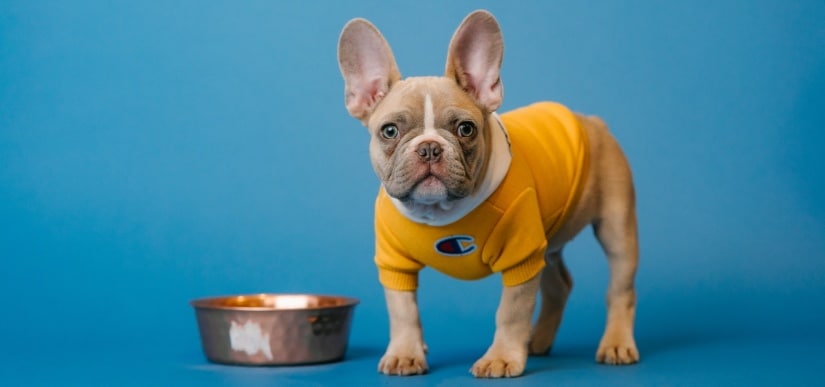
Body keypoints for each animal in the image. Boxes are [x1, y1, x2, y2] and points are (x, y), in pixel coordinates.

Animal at [334, 9, 636, 378]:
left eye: (466, 129)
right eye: (389, 131)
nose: (430, 148)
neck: (439, 213)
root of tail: (592, 121)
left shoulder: (521, 256)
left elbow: (511, 312)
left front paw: (502, 357)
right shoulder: (395, 263)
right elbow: (403, 310)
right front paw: (405, 353)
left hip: (615, 228)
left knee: (620, 289)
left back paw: (616, 343)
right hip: (547, 242)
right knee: (559, 285)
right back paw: (539, 340)